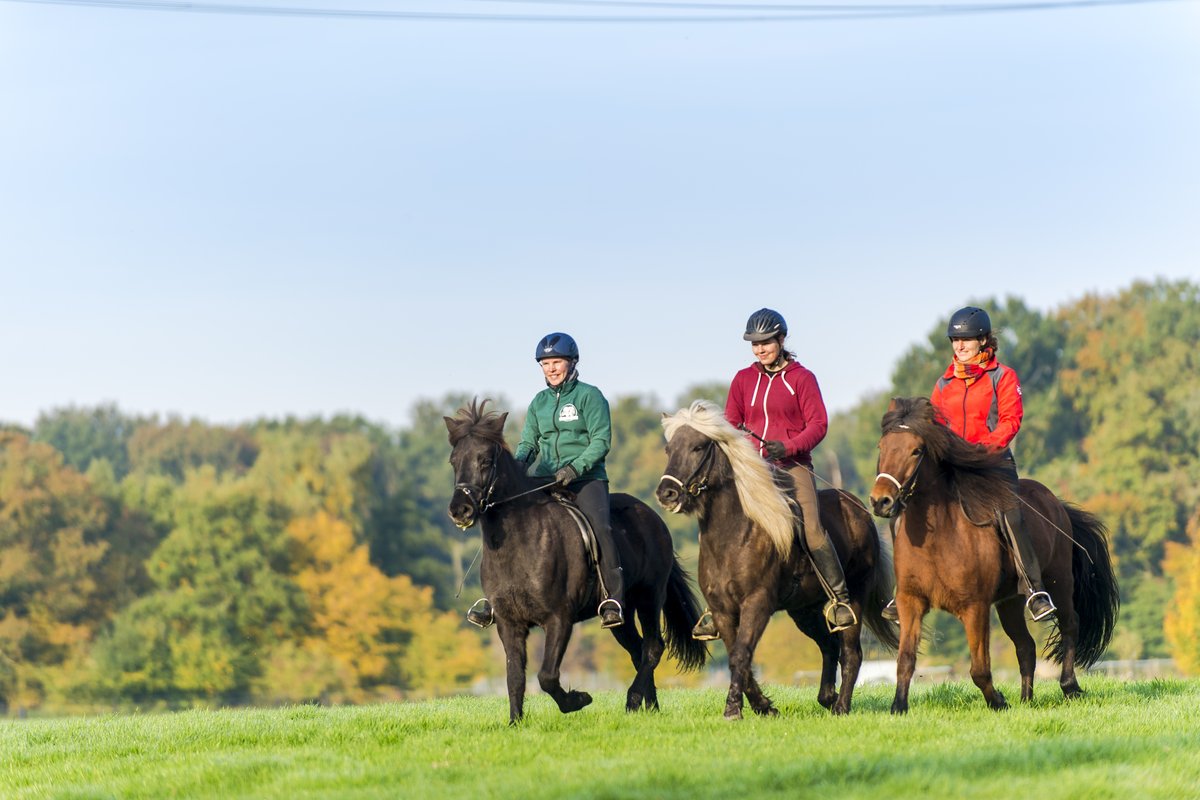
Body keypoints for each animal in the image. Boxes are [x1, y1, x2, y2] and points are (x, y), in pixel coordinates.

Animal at [446, 400, 705, 724]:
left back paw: (634, 700)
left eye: (484, 461)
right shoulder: (508, 623)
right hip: (621, 615)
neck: (518, 543)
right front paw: (515, 723)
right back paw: (650, 706)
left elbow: (546, 676)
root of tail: (652, 516)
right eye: (454, 461)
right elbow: (514, 676)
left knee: (653, 648)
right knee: (638, 650)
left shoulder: (559, 618)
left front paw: (578, 700)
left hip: (649, 597)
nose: (460, 510)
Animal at [652, 400, 897, 719]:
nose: (666, 494)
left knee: (851, 651)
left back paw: (841, 706)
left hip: (854, 596)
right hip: (804, 609)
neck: (733, 535)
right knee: (829, 647)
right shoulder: (722, 610)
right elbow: (736, 655)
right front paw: (763, 706)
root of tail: (860, 509)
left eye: (698, 446)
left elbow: (741, 654)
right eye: (669, 449)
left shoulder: (757, 603)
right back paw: (827, 697)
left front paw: (734, 709)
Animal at [868, 398, 1118, 714]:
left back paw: (1069, 686)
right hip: (1010, 601)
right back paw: (1026, 699)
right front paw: (898, 707)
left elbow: (979, 669)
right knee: (1026, 646)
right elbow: (905, 659)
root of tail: (1056, 503)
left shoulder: (975, 606)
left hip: (1059, 581)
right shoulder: (910, 602)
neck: (938, 536)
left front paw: (998, 701)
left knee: (1069, 624)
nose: (881, 501)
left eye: (916, 450)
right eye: (882, 447)